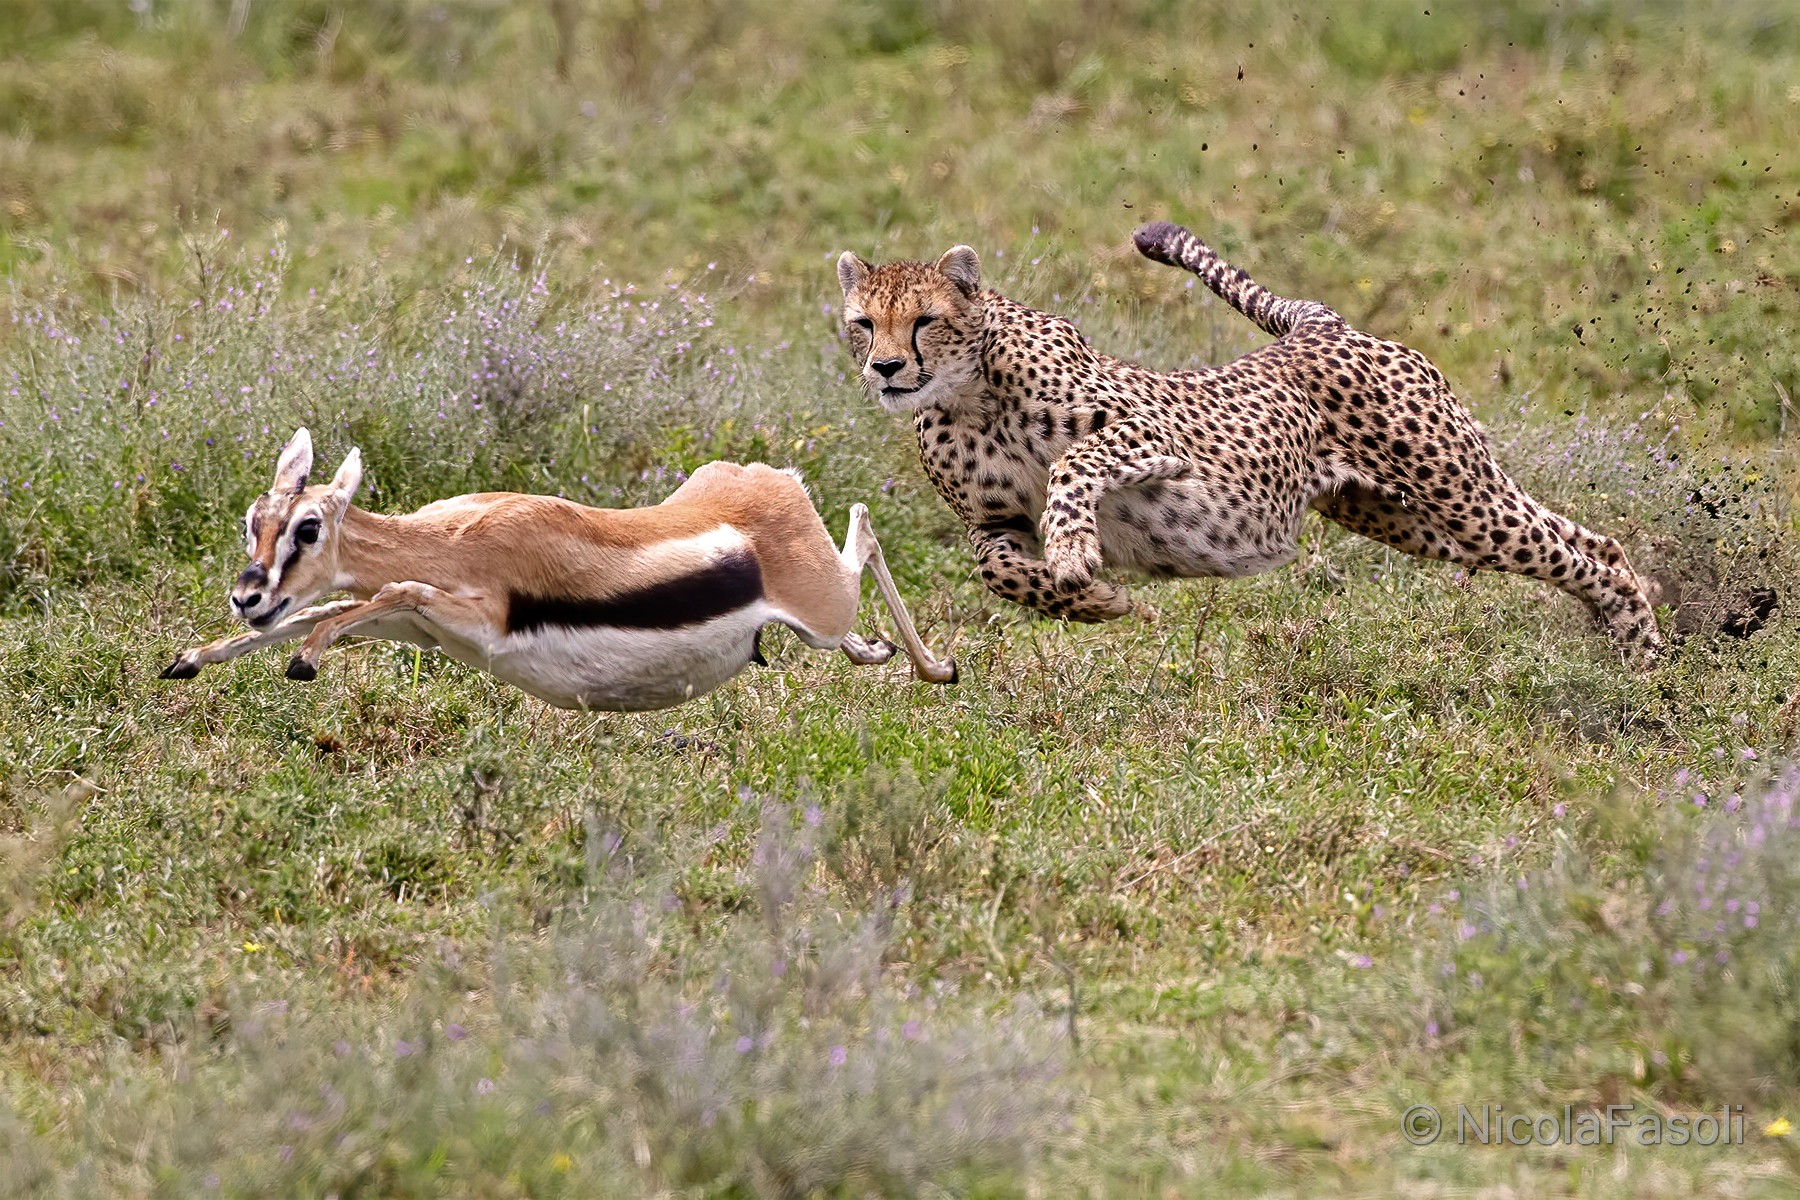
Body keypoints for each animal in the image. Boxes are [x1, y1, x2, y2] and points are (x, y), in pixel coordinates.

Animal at [835, 220, 1664, 668]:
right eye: (864, 324)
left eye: (924, 321)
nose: (886, 368)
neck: (969, 394)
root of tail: (1318, 324)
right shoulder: (994, 522)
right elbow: (996, 569)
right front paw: (1095, 601)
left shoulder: (1153, 436)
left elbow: (1073, 463)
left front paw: (1074, 553)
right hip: (1410, 516)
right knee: (1585, 544)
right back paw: (1623, 642)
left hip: (1458, 494)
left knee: (1588, 555)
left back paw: (1643, 657)